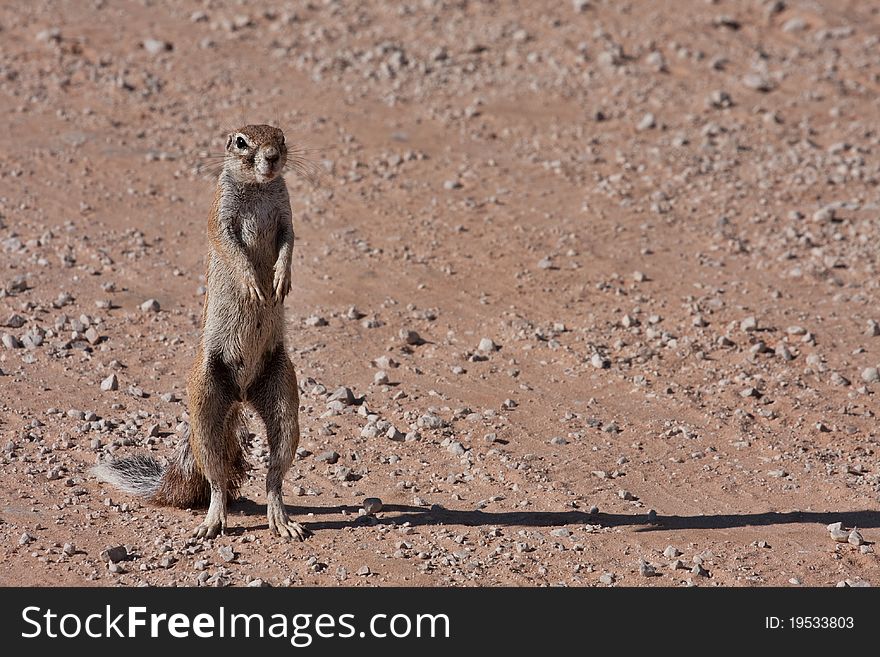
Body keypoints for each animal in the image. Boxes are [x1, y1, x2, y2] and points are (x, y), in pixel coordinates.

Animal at [93, 125, 310, 540]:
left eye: (281, 137)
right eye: (241, 141)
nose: (273, 157)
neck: (258, 189)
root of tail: (240, 395)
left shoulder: (287, 215)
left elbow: (290, 241)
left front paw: (281, 277)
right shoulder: (220, 217)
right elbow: (231, 248)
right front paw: (253, 282)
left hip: (283, 395)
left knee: (274, 474)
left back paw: (282, 520)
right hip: (206, 403)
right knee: (215, 479)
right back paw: (212, 521)